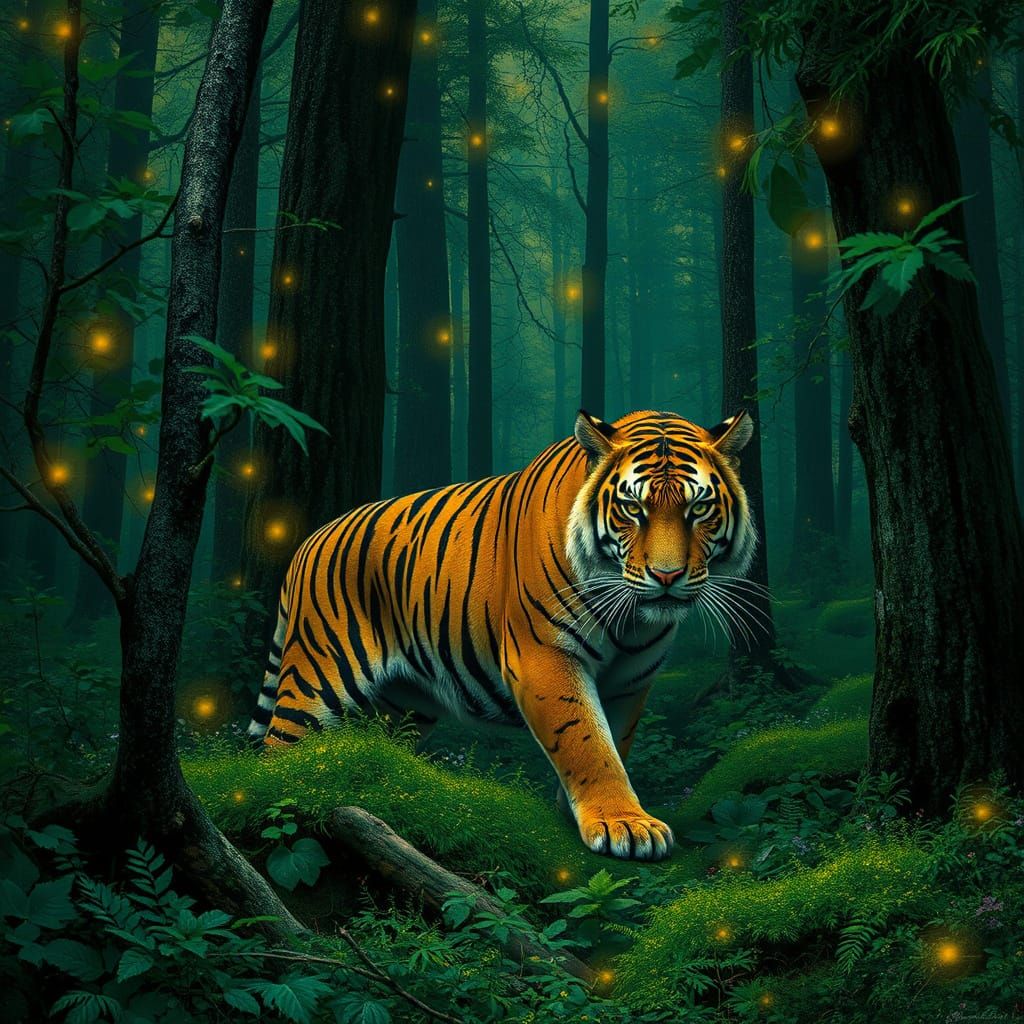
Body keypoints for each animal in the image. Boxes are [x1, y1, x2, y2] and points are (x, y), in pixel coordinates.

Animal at [248, 408, 756, 861]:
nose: (667, 576)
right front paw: (624, 825)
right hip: (317, 678)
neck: (629, 619)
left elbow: (615, 739)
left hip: (401, 703)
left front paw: (584, 812)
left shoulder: (632, 678)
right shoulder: (544, 654)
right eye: (633, 508)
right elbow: (586, 741)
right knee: (274, 755)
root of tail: (308, 542)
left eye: (699, 508)